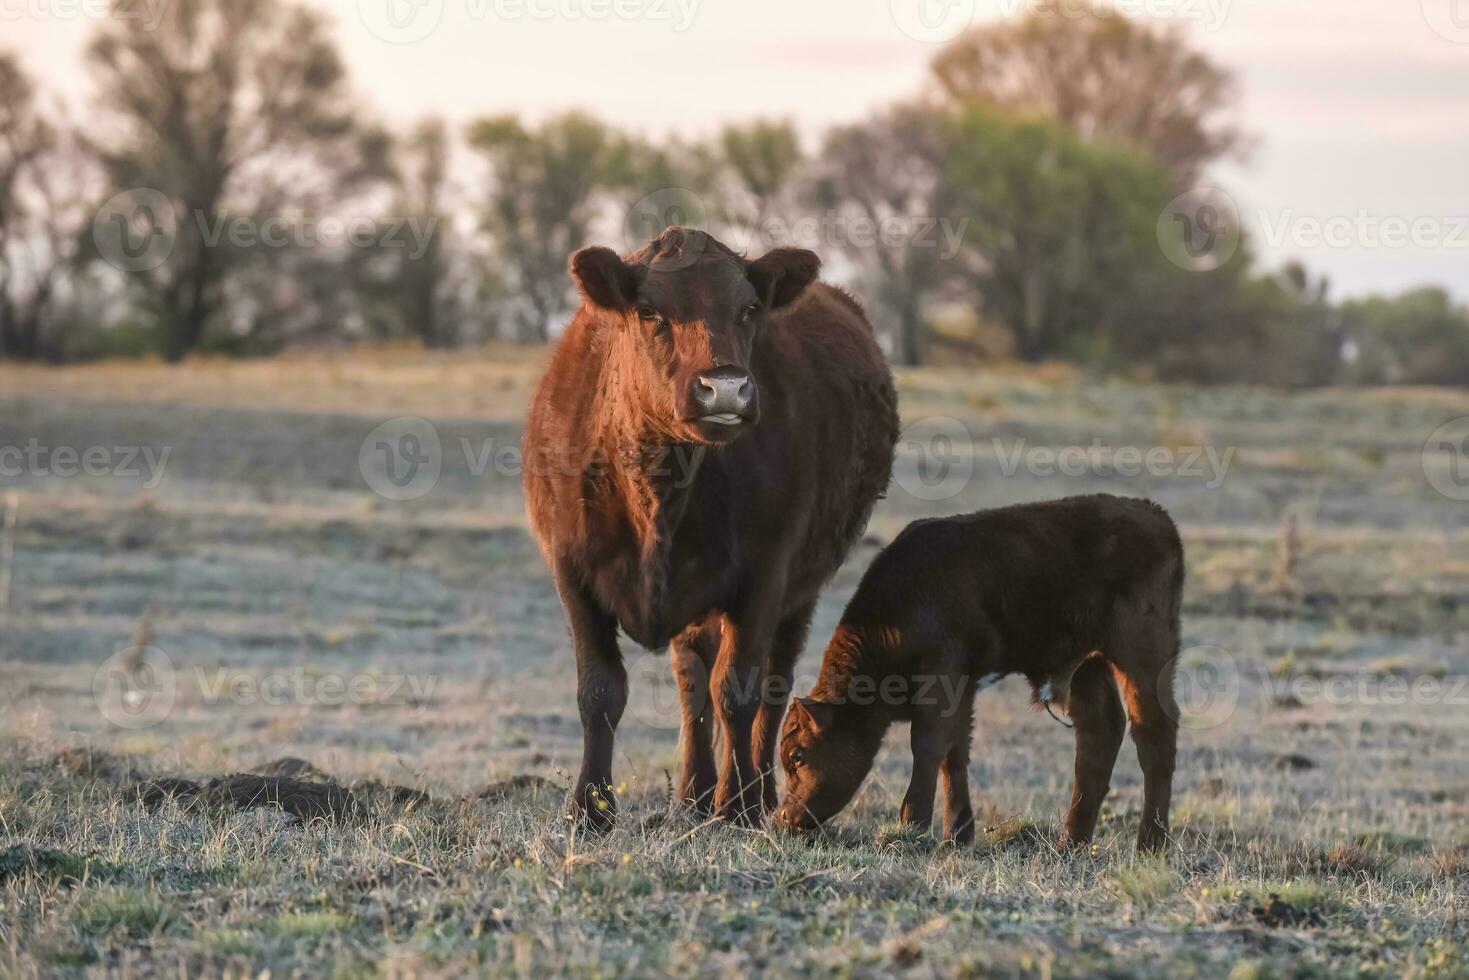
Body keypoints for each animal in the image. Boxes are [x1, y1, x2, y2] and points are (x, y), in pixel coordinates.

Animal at [522, 227, 899, 828]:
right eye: (649, 311)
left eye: (748, 309)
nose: (725, 389)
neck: (657, 486)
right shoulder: (571, 569)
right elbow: (600, 690)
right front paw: (590, 809)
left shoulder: (767, 573)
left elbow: (738, 690)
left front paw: (736, 806)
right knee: (690, 680)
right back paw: (692, 794)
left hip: (799, 592)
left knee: (771, 684)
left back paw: (753, 796)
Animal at [775, 493, 1186, 852]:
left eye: (798, 756)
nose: (782, 817)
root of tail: (1154, 515)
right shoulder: (962, 686)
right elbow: (954, 752)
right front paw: (956, 834)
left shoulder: (942, 673)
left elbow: (927, 744)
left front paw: (912, 823)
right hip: (1088, 663)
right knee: (1099, 734)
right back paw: (1072, 842)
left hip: (1144, 653)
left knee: (1153, 734)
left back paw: (1151, 843)